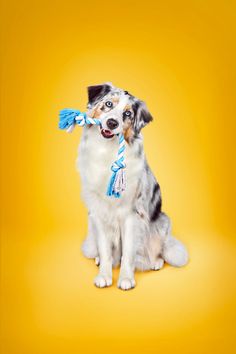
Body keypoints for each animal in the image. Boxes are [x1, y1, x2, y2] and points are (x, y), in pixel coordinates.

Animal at [78, 83, 189, 290]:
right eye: (108, 104)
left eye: (127, 114)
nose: (112, 123)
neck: (108, 151)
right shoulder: (98, 213)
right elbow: (105, 250)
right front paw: (104, 275)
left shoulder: (131, 215)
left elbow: (128, 253)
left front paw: (126, 279)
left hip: (162, 222)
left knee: (157, 249)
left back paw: (155, 262)